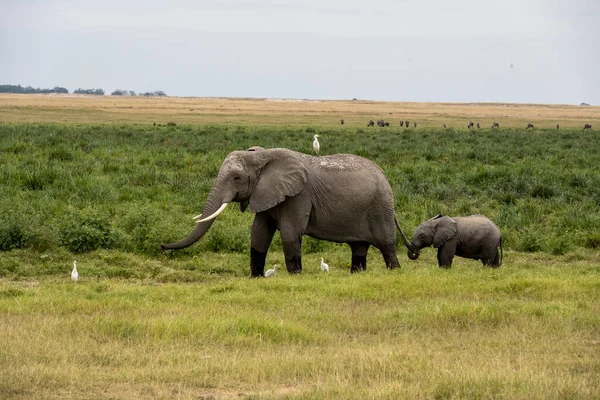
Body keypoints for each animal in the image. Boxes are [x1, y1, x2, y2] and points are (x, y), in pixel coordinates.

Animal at [161, 147, 418, 276]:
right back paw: (357, 274)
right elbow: (259, 233)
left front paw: (295, 275)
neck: (262, 156)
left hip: (380, 206)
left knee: (386, 244)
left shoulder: (298, 195)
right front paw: (256, 277)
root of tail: (385, 176)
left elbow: (290, 232)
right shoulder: (266, 192)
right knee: (359, 246)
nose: (162, 246)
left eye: (236, 178)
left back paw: (394, 271)